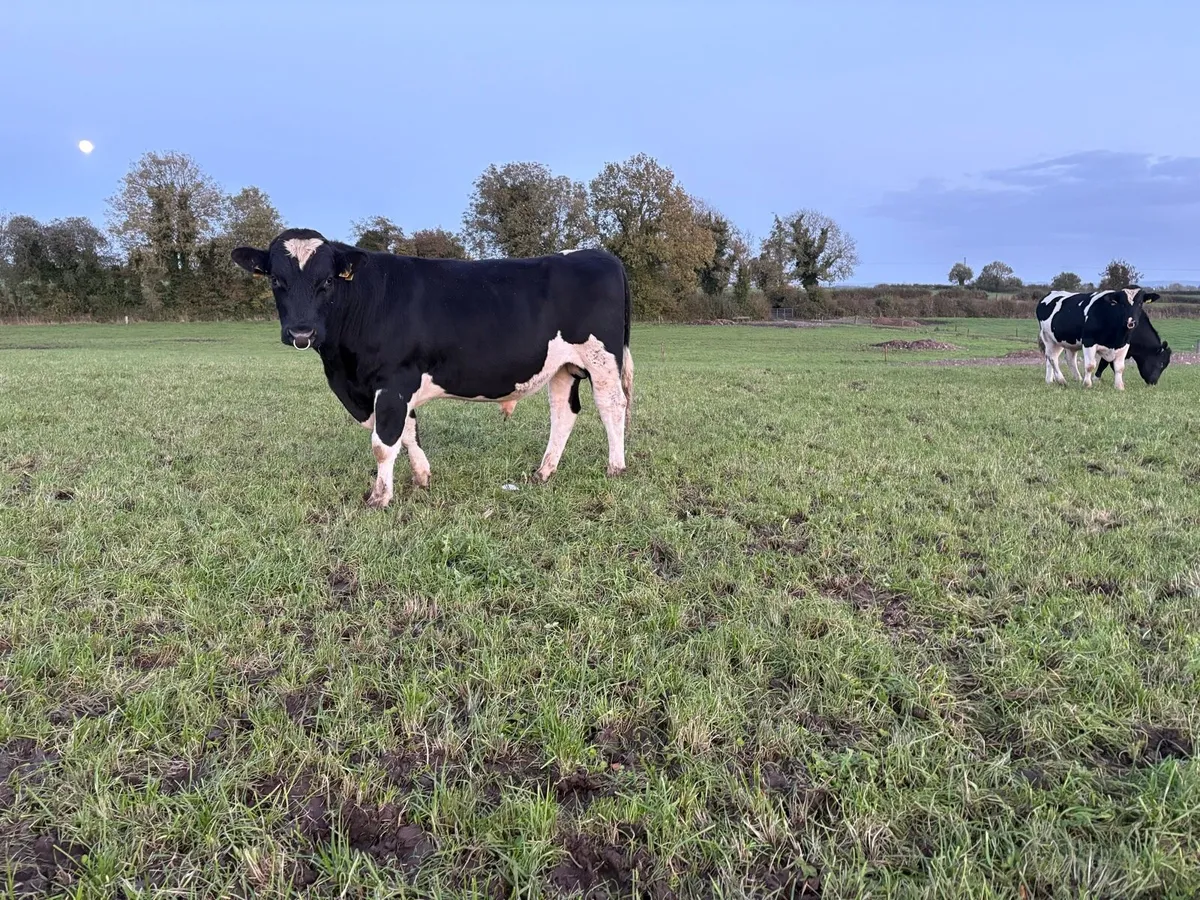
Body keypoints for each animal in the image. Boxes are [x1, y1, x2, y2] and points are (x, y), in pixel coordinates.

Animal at [231, 229, 634, 508]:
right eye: (275, 280)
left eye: (327, 280)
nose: (301, 331)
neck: (343, 370)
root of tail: (601, 256)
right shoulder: (388, 387)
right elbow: (408, 433)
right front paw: (422, 478)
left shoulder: (392, 381)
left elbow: (384, 442)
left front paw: (379, 498)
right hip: (563, 366)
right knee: (563, 413)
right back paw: (543, 472)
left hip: (601, 357)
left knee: (612, 405)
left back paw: (616, 468)